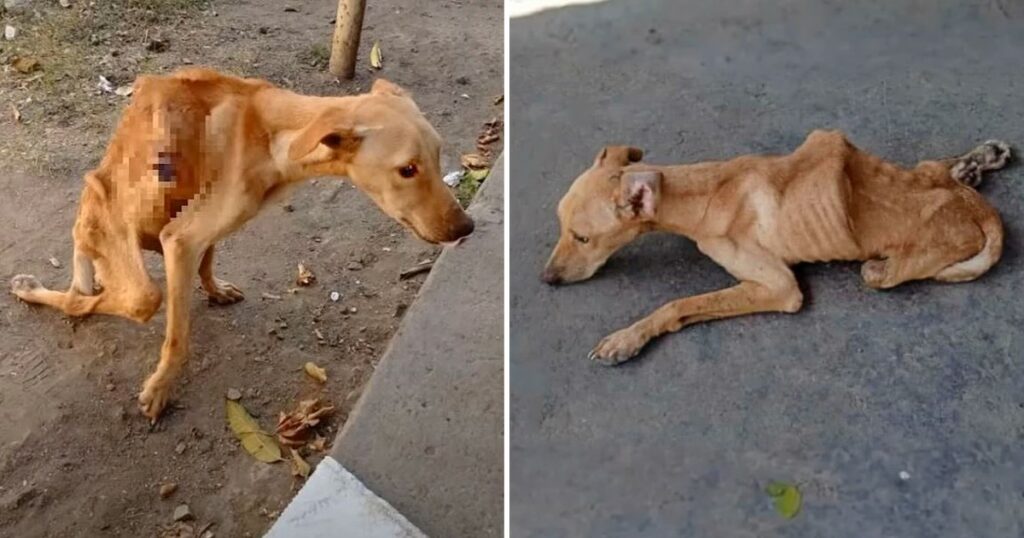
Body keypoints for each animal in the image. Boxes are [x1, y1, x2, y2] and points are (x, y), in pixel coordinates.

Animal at [9, 68, 473, 420]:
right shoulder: (181, 238)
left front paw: (215, 290)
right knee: (85, 298)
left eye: (438, 155)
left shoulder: (199, 232)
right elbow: (178, 337)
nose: (467, 227)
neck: (272, 133)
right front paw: (161, 387)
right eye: (407, 169)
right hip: (128, 270)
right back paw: (30, 289)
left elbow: (208, 259)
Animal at [544, 130, 1007, 364]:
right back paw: (977, 159)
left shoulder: (780, 287)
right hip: (925, 172)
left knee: (881, 270)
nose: (546, 278)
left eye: (583, 237)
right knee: (941, 167)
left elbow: (677, 305)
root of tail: (979, 209)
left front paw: (628, 338)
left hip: (883, 269)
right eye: (560, 224)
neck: (703, 190)